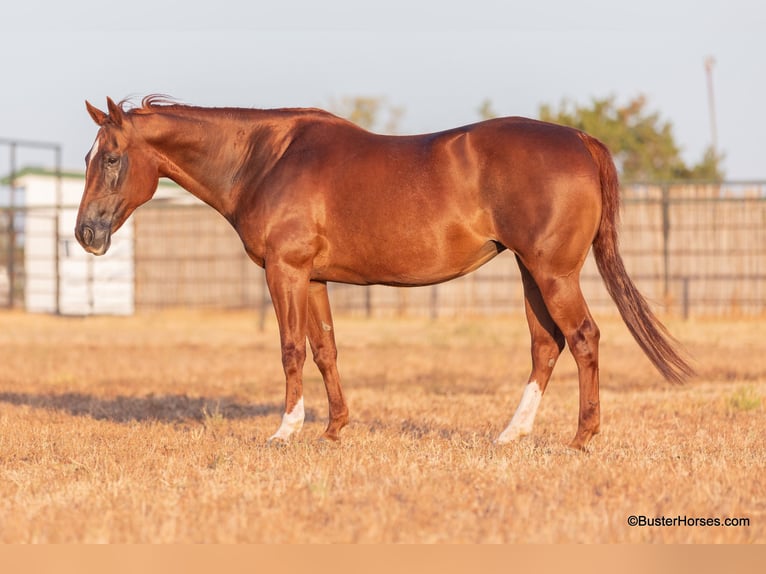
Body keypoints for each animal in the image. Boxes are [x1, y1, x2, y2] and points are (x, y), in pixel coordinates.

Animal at [76, 97, 696, 452]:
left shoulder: (285, 272)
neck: (266, 158)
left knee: (584, 338)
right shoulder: (314, 279)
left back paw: (582, 437)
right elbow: (325, 349)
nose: (87, 233)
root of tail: (579, 139)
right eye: (88, 157)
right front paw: (333, 429)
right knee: (547, 345)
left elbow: (290, 349)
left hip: (553, 273)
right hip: (531, 271)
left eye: (110, 158)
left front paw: (285, 431)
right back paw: (511, 434)